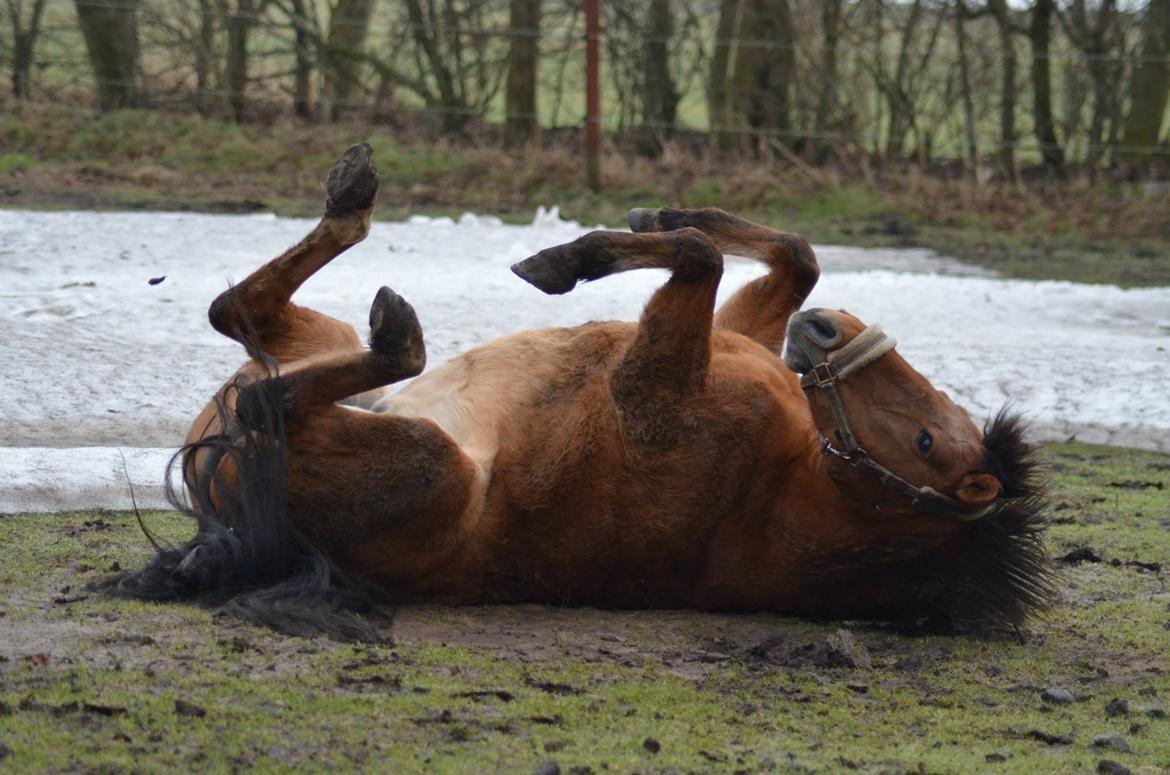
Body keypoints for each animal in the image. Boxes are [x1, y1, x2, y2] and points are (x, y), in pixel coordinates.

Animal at [118, 143, 1053, 636]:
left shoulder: (652, 382)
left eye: (929, 443)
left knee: (268, 391)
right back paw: (353, 196)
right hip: (311, 351)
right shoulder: (734, 339)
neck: (787, 480)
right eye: (939, 417)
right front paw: (667, 213)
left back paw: (398, 329)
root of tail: (234, 526)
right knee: (239, 311)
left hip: (421, 459)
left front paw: (571, 258)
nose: (823, 332)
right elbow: (787, 252)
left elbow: (702, 261)